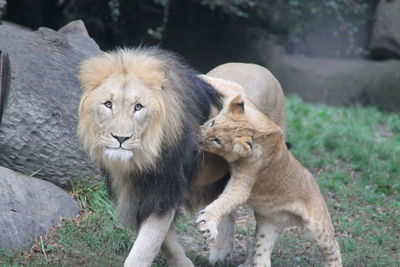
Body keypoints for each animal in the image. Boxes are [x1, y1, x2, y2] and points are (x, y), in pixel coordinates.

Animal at [77, 47, 284, 266]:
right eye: (108, 104)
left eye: (138, 107)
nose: (121, 138)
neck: (140, 159)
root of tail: (259, 67)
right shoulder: (136, 193)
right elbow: (165, 241)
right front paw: (182, 262)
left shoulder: (164, 188)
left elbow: (145, 248)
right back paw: (220, 251)